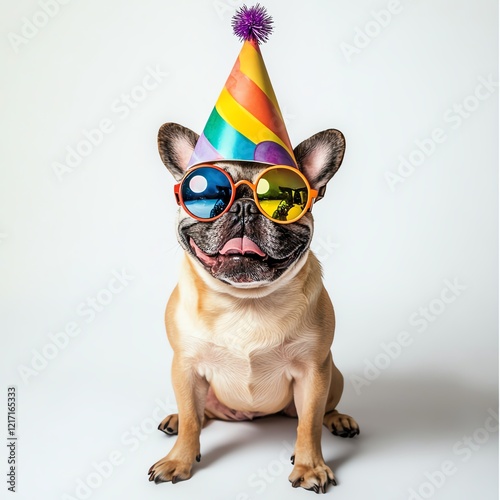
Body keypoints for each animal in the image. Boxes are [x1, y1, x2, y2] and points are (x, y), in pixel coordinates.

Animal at [148, 123, 360, 494]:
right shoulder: (185, 368)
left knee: (323, 411)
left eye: (286, 202)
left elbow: (309, 425)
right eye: (204, 195)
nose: (245, 207)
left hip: (334, 376)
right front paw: (179, 460)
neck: (245, 300)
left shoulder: (313, 372)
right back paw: (175, 419)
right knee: (199, 414)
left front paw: (310, 466)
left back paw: (339, 419)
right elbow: (191, 419)